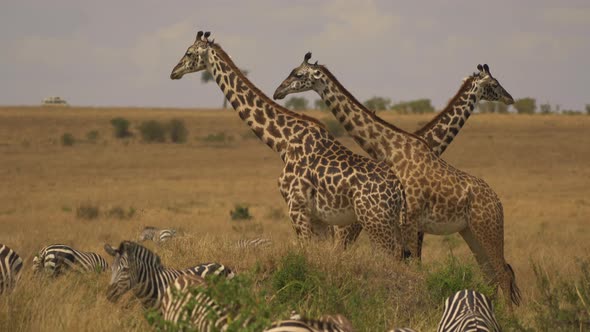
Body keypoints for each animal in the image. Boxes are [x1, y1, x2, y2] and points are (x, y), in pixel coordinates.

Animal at [172, 31, 408, 258]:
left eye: (189, 52)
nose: (174, 71)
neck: (283, 143)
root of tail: (398, 191)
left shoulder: (296, 207)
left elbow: (305, 253)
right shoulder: (317, 216)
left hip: (374, 221)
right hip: (389, 224)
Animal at [272, 53, 524, 310]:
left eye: (298, 74)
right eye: (495, 84)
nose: (278, 91)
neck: (389, 147)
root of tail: (497, 201)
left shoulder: (412, 222)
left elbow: (411, 265)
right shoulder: (409, 222)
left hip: (484, 229)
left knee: (502, 273)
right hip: (470, 231)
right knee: (494, 274)